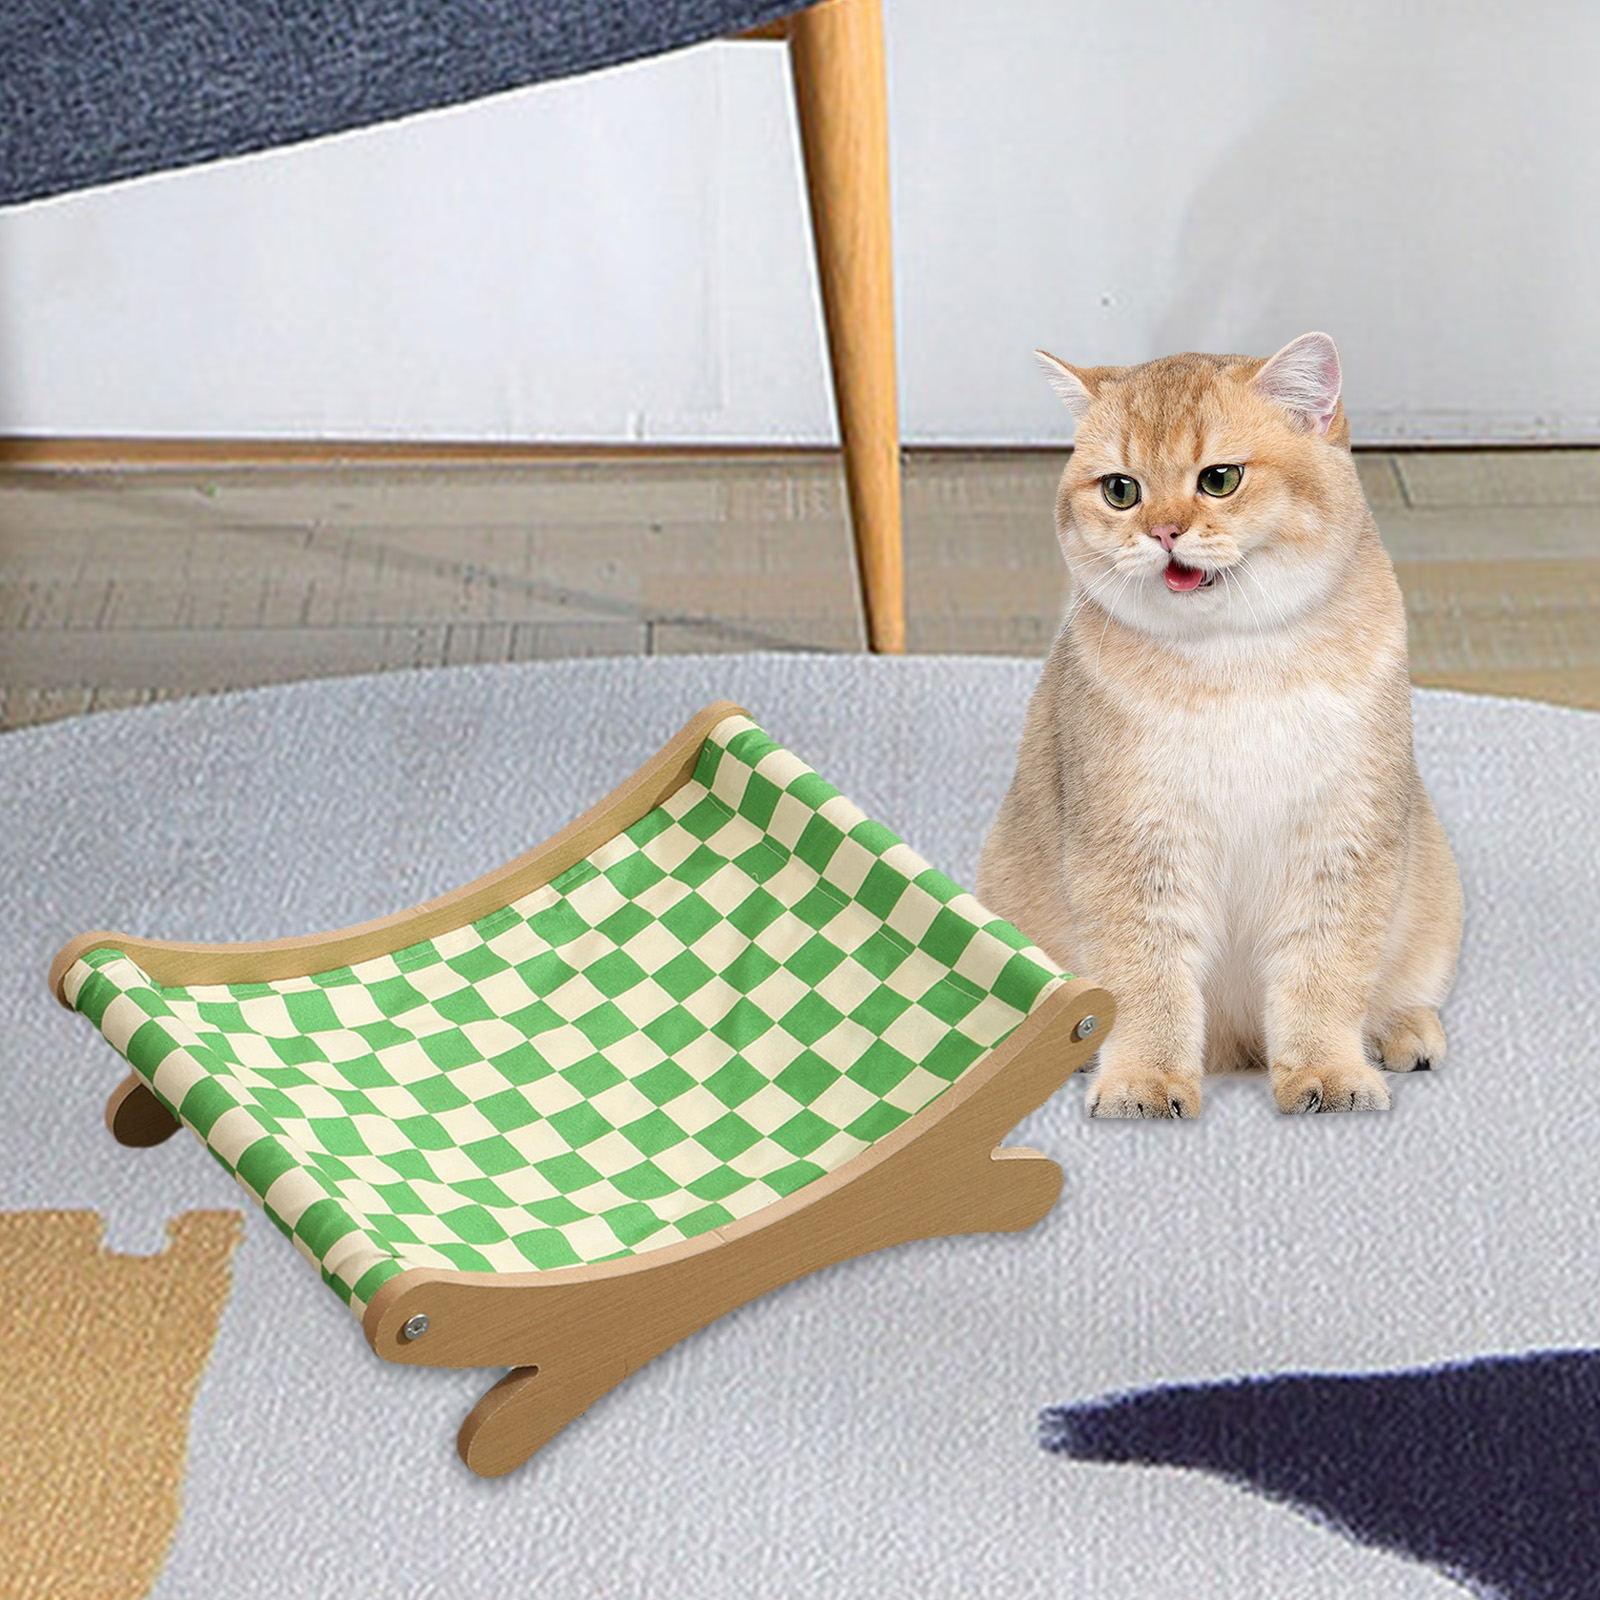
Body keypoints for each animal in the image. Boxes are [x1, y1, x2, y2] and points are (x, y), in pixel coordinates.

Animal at [977, 333, 1461, 1117]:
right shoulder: (1133, 846)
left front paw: (1329, 1072)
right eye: (1121, 490)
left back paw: (1403, 1030)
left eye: (1220, 479)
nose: (1164, 531)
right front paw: (1143, 1080)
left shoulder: (1342, 838)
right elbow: (1144, 975)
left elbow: (1326, 971)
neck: (1235, 660)